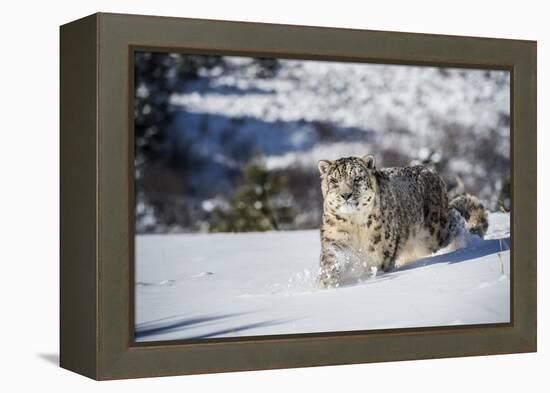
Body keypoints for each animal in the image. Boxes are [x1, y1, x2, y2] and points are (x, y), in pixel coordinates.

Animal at [316, 154, 490, 288]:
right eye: (334, 181)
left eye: (357, 178)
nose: (346, 195)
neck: (354, 223)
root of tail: (432, 172)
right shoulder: (335, 239)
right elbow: (331, 260)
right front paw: (324, 282)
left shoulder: (380, 253)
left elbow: (375, 267)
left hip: (434, 235)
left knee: (456, 218)